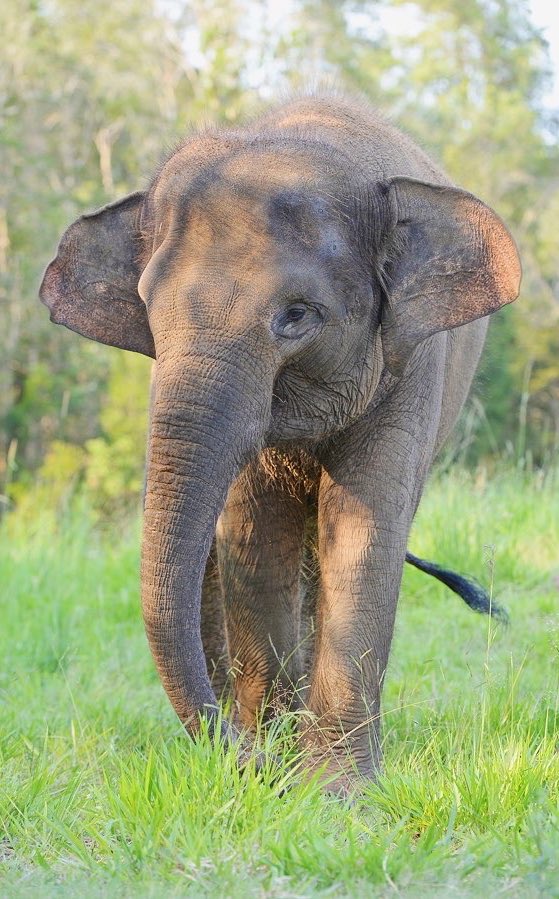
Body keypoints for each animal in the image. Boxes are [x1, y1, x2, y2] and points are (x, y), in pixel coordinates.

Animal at [40, 92, 521, 792]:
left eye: (297, 315)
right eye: (149, 309)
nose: (249, 760)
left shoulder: (412, 365)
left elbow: (363, 532)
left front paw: (339, 792)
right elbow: (256, 536)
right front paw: (279, 773)